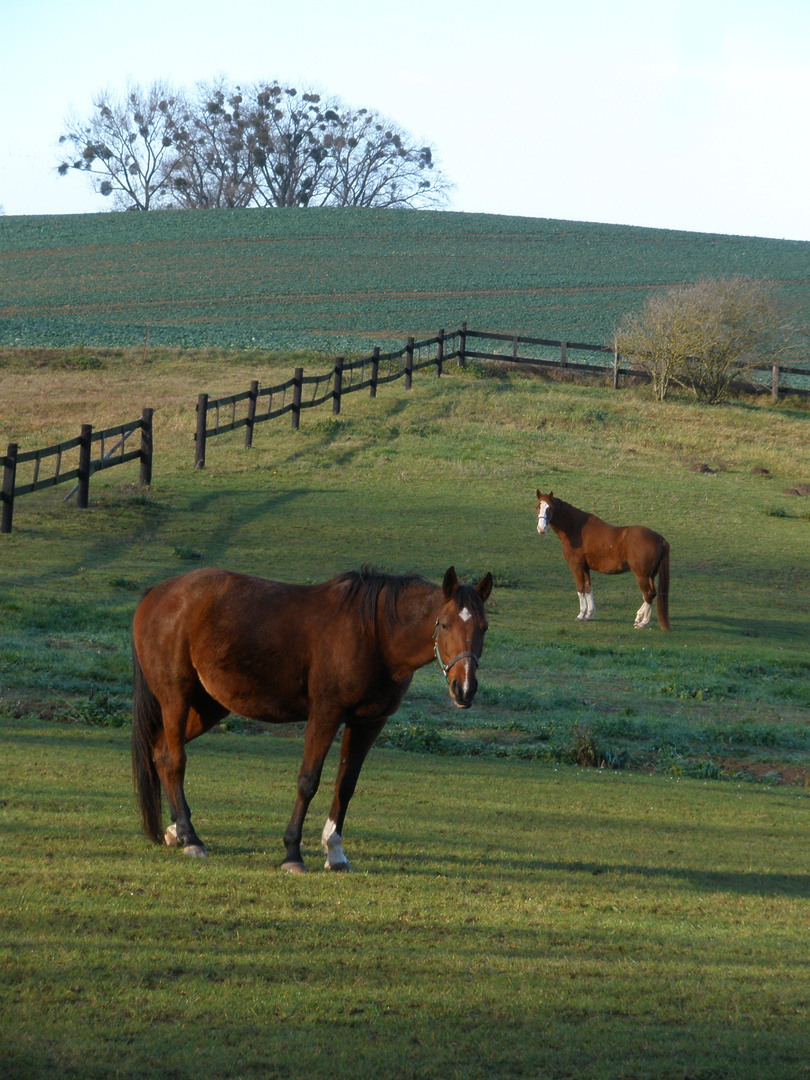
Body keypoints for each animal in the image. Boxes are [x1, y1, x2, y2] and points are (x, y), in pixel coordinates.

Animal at [131, 565, 494, 868]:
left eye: (483, 627)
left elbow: (345, 785)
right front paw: (292, 852)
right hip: (176, 699)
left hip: (207, 706)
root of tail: (157, 593)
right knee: (175, 760)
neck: (374, 633)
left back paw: (177, 830)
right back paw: (191, 838)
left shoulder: (367, 722)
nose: (464, 689)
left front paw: (334, 851)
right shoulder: (325, 715)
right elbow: (308, 782)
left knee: (161, 753)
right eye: (445, 624)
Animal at [540, 488, 673, 630]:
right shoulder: (585, 567)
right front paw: (589, 614)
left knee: (648, 594)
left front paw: (581, 615)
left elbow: (580, 588)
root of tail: (660, 539)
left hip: (641, 575)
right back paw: (640, 618)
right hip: (650, 575)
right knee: (651, 594)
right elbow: (588, 588)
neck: (576, 529)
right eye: (538, 506)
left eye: (550, 508)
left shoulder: (576, 566)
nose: (541, 528)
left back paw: (642, 622)